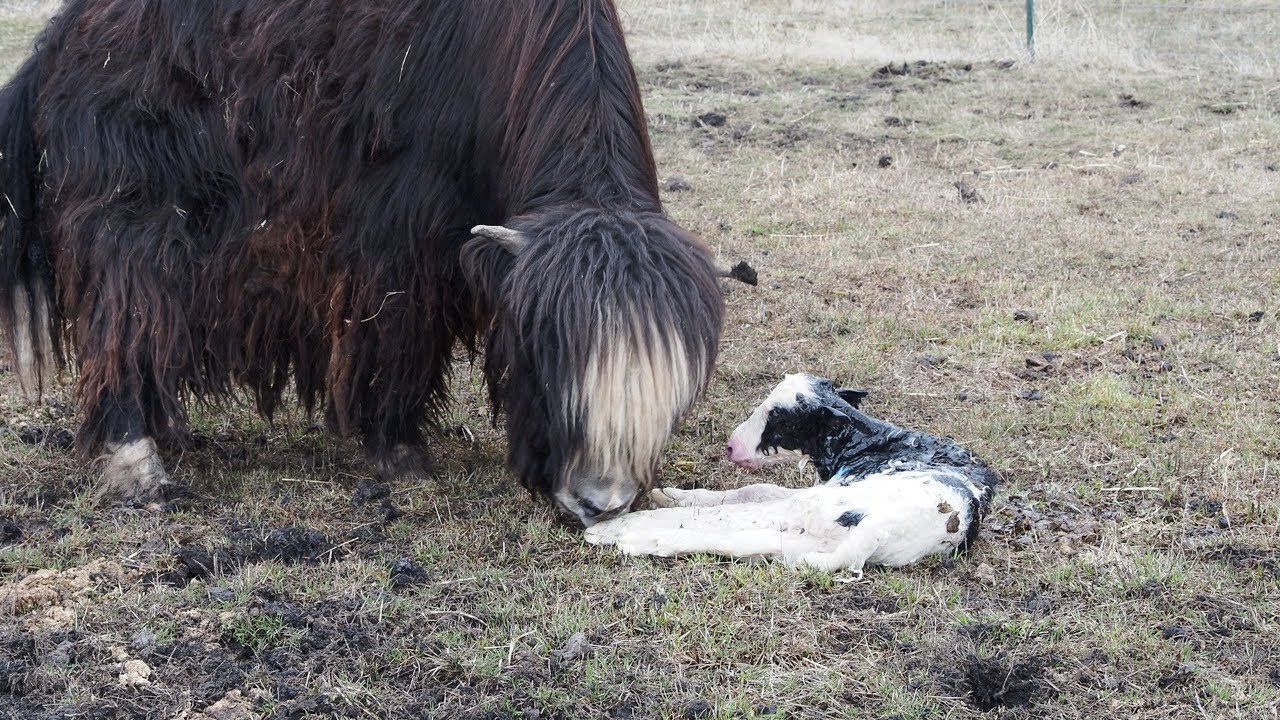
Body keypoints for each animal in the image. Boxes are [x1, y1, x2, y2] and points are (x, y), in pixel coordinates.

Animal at [0, 0, 724, 526]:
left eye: (674, 400)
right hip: (130, 220)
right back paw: (138, 464)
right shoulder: (400, 240)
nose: (599, 504)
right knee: (122, 322)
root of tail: (57, 45)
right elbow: (397, 335)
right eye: (546, 368)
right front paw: (400, 452)